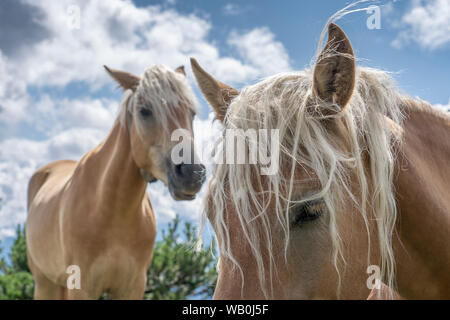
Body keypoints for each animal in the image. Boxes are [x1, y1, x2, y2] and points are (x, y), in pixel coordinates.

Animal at [26, 63, 206, 298]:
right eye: (144, 110)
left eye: (191, 113)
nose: (192, 174)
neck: (109, 209)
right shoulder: (82, 287)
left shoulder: (133, 286)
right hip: (44, 282)